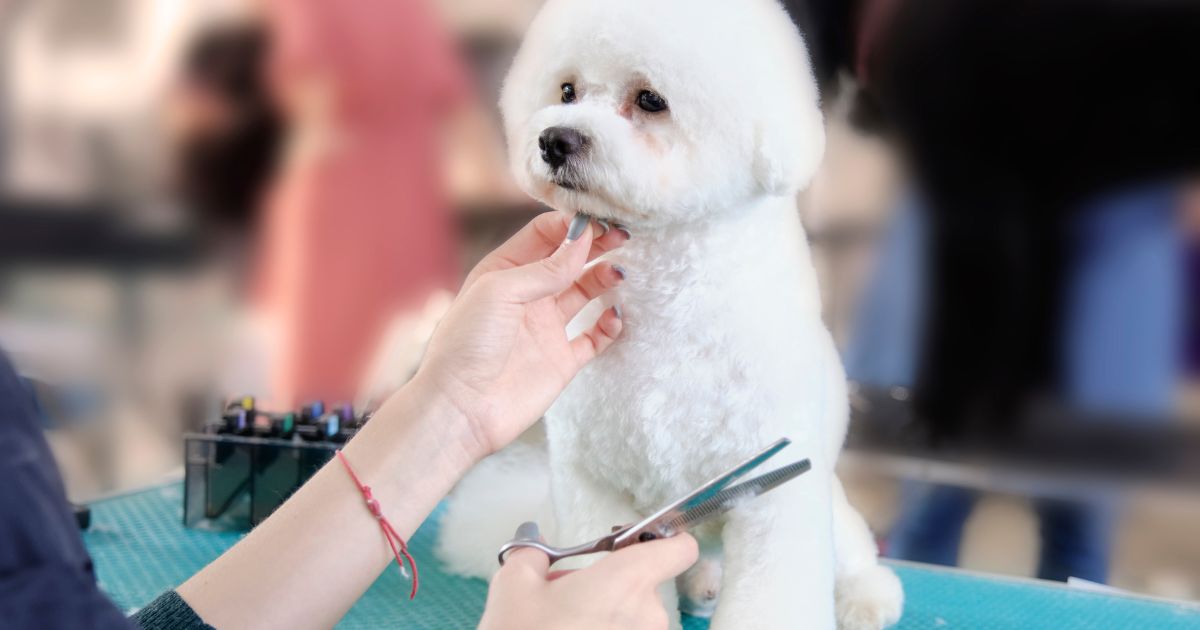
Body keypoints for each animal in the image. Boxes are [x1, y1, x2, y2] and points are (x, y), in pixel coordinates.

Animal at [439, 2, 902, 624]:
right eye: (567, 90)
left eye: (650, 99)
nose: (555, 140)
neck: (663, 302)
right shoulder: (593, 482)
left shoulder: (773, 494)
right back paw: (702, 580)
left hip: (824, 502)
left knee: (852, 550)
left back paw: (866, 597)